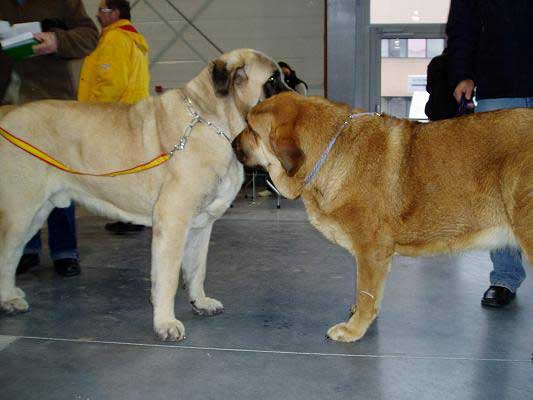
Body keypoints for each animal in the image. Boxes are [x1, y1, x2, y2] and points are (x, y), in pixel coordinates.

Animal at [0, 47, 288, 340]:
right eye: (273, 80)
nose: (296, 97)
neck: (213, 120)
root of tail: (8, 113)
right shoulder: (172, 221)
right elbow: (168, 276)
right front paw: (165, 323)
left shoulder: (201, 225)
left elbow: (197, 268)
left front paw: (200, 302)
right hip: (19, 212)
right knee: (6, 254)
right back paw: (9, 300)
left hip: (36, 213)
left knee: (13, 255)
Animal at [234, 92, 532, 342]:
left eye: (250, 128)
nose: (233, 142)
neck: (330, 150)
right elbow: (366, 292)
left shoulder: (371, 251)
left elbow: (366, 292)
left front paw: (354, 329)